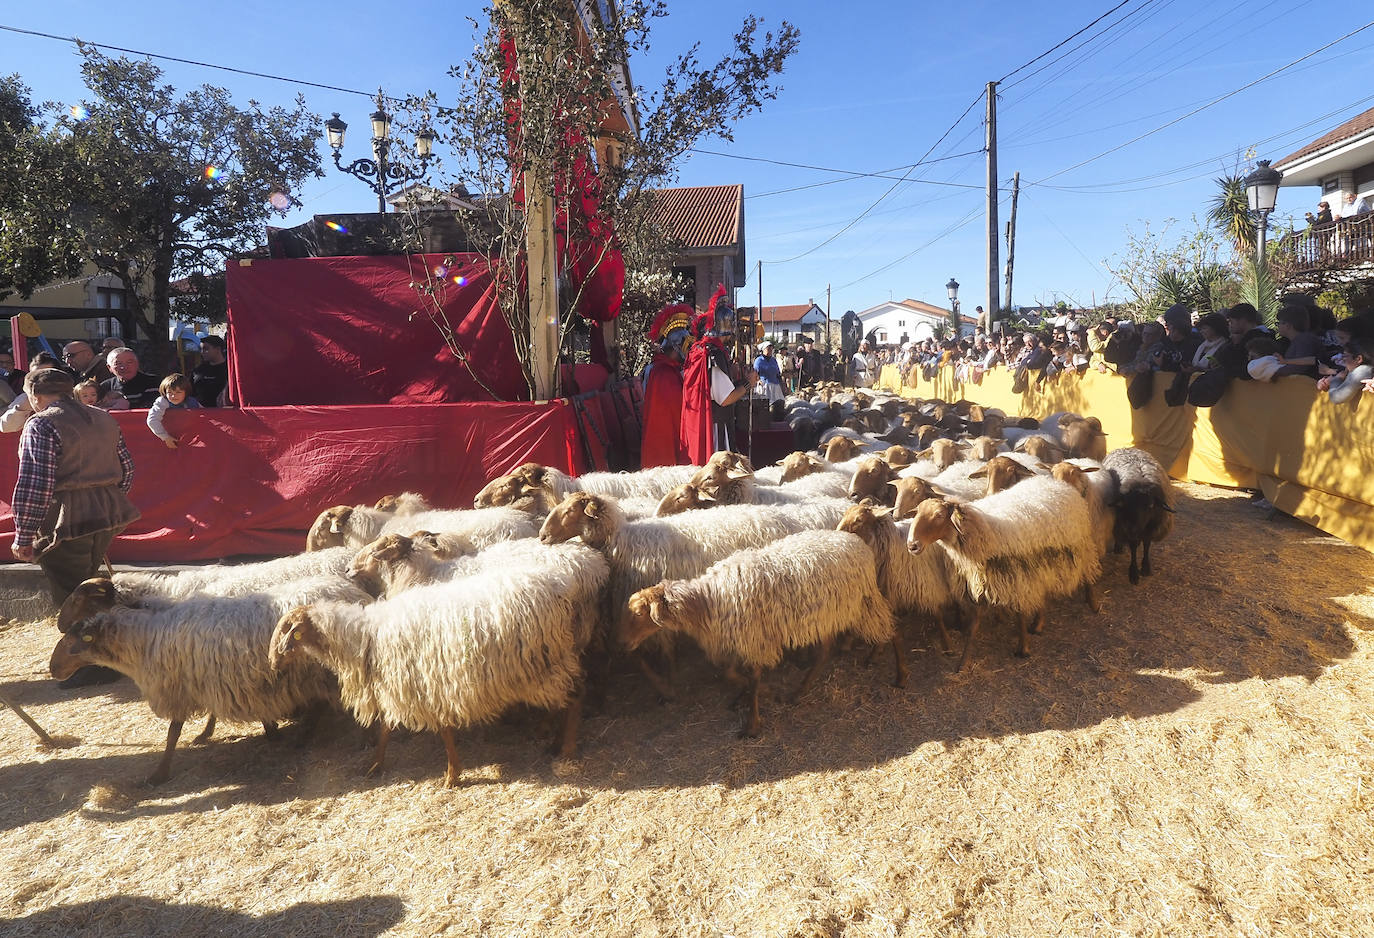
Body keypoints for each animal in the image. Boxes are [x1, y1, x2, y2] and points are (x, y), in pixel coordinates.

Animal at [267, 538, 607, 791]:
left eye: (286, 630)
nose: (272, 662)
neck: (365, 636)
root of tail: (568, 580)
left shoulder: (423, 683)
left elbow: (437, 730)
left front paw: (451, 775)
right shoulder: (411, 684)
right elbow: (390, 729)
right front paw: (376, 765)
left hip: (547, 662)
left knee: (575, 696)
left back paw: (565, 748)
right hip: (546, 663)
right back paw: (553, 739)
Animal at [621, 527, 901, 741]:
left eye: (639, 612)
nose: (625, 644)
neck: (708, 600)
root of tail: (856, 542)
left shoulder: (755, 638)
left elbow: (753, 678)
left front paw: (753, 722)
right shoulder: (738, 639)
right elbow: (731, 674)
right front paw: (744, 696)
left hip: (860, 600)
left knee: (887, 624)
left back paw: (899, 672)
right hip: (825, 614)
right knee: (825, 652)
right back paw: (799, 691)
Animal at [906, 477, 1099, 667]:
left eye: (939, 515)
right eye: (916, 513)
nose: (912, 545)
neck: (983, 531)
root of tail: (1056, 482)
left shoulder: (1017, 577)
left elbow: (1020, 616)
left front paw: (1023, 648)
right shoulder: (981, 582)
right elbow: (974, 626)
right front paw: (963, 662)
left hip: (1079, 547)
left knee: (1088, 572)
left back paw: (1093, 604)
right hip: (1041, 564)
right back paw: (1038, 624)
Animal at [1099, 447, 1176, 587]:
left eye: (1151, 506)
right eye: (1126, 505)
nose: (1133, 530)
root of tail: (1126, 447)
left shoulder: (1151, 527)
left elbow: (1147, 544)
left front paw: (1145, 567)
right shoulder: (1127, 525)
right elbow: (1133, 546)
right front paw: (1134, 573)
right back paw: (1119, 547)